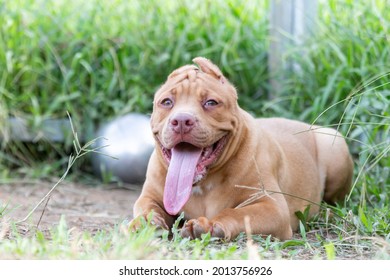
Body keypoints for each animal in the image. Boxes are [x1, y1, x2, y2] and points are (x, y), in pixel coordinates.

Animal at [132, 57, 354, 241]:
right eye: (167, 102)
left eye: (211, 102)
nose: (181, 121)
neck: (202, 183)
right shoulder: (152, 195)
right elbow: (146, 209)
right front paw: (142, 224)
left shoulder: (271, 207)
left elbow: (237, 213)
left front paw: (210, 224)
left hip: (334, 144)